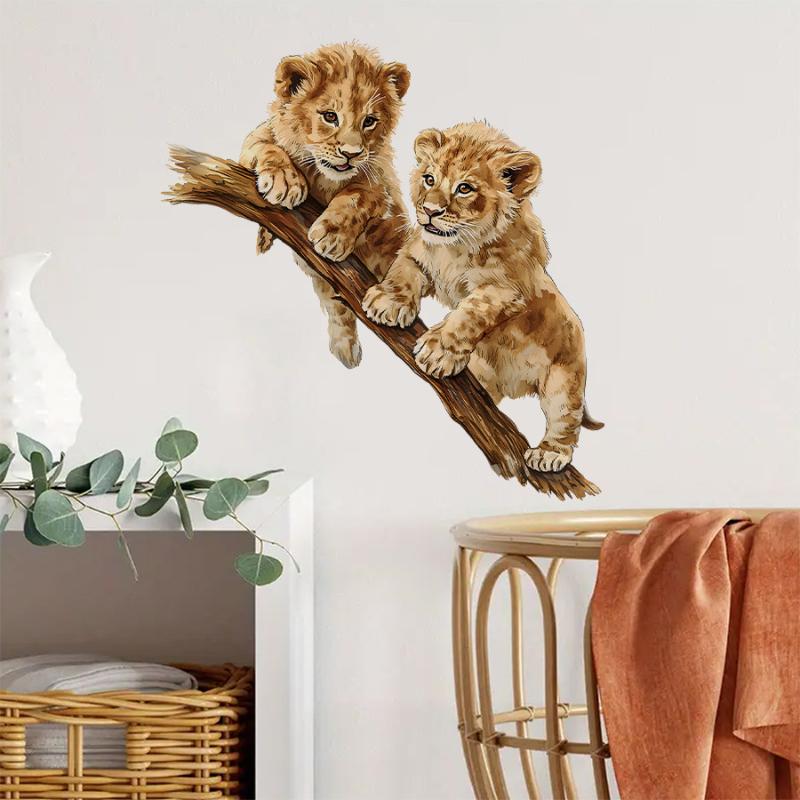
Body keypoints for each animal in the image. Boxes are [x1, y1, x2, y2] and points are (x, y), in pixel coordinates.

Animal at [240, 43, 410, 368]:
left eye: (369, 121)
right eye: (330, 116)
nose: (351, 154)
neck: (323, 176)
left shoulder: (381, 182)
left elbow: (357, 195)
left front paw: (332, 235)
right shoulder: (255, 141)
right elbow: (264, 145)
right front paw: (285, 181)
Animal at [362, 121, 602, 472]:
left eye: (464, 188)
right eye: (429, 179)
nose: (430, 211)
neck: (456, 246)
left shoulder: (506, 289)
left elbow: (469, 311)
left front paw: (438, 351)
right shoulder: (419, 254)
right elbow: (402, 271)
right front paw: (388, 302)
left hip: (564, 378)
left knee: (565, 419)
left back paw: (549, 453)